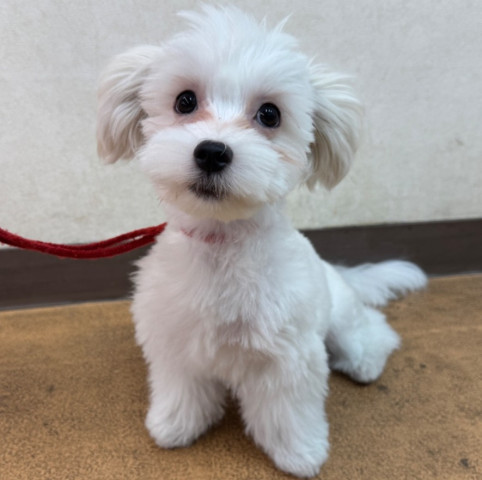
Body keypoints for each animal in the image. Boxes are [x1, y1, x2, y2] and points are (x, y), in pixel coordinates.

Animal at [96, 6, 427, 477]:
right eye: (184, 101)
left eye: (270, 114)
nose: (212, 152)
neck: (222, 244)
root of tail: (335, 272)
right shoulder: (177, 342)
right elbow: (182, 388)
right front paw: (175, 424)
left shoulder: (287, 356)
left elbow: (287, 410)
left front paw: (300, 453)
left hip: (340, 320)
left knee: (372, 331)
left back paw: (365, 362)